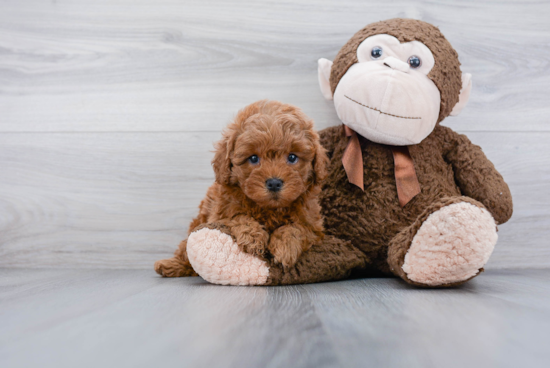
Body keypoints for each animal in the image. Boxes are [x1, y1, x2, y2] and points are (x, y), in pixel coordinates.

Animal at [153, 99, 330, 278]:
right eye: (253, 158)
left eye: (292, 157)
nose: (274, 183)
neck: (270, 209)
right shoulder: (220, 215)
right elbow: (239, 217)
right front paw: (253, 238)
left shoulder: (313, 226)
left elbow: (297, 228)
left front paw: (285, 247)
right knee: (184, 249)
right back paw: (170, 265)